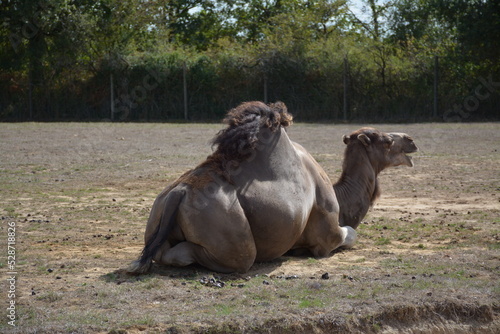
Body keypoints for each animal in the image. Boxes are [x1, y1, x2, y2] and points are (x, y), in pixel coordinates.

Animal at [129, 102, 418, 274]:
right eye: (385, 140)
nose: (411, 139)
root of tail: (178, 193)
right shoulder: (328, 236)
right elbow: (350, 234)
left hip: (157, 210)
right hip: (231, 235)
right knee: (228, 256)